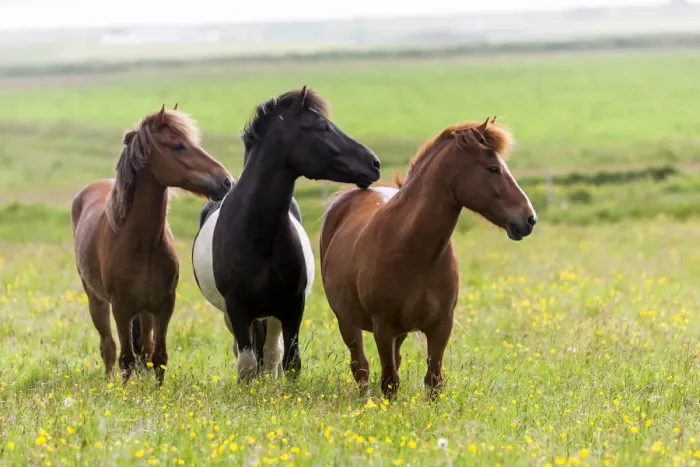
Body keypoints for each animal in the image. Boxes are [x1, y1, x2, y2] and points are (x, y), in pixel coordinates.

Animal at [71, 104, 233, 384]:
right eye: (178, 146)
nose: (226, 181)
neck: (141, 243)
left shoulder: (164, 305)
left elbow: (159, 358)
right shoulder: (122, 308)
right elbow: (126, 359)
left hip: (145, 312)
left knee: (144, 349)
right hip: (96, 300)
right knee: (108, 346)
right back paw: (109, 383)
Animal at [191, 86, 381, 382]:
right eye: (322, 126)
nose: (374, 163)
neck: (258, 237)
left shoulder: (292, 307)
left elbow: (290, 363)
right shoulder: (237, 308)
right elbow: (246, 365)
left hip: (272, 316)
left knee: (271, 356)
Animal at [319, 117, 537, 398]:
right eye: (493, 168)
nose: (529, 219)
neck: (413, 250)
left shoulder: (441, 326)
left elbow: (433, 380)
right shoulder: (383, 327)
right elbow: (389, 382)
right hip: (347, 321)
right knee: (361, 367)